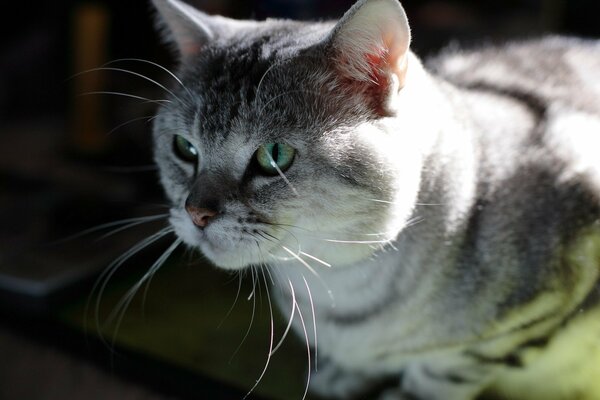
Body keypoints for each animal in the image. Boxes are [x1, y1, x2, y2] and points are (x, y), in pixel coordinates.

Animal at [148, 0, 600, 398]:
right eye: (184, 148)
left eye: (273, 156)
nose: (196, 212)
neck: (334, 285)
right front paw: (342, 379)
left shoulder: (508, 332)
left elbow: (439, 376)